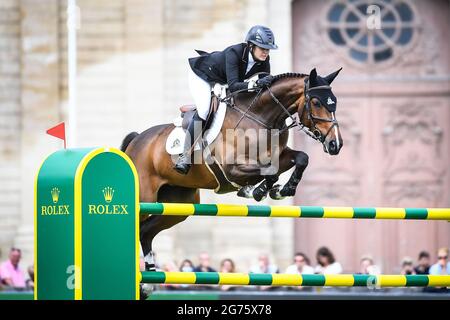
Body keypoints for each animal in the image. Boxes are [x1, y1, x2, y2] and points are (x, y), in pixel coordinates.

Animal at [121, 67, 342, 270]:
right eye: (316, 102)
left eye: (334, 102)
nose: (335, 144)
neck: (261, 117)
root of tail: (137, 140)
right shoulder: (231, 169)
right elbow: (269, 172)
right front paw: (259, 191)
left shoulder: (279, 157)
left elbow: (301, 159)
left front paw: (282, 190)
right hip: (146, 197)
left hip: (178, 204)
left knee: (145, 231)